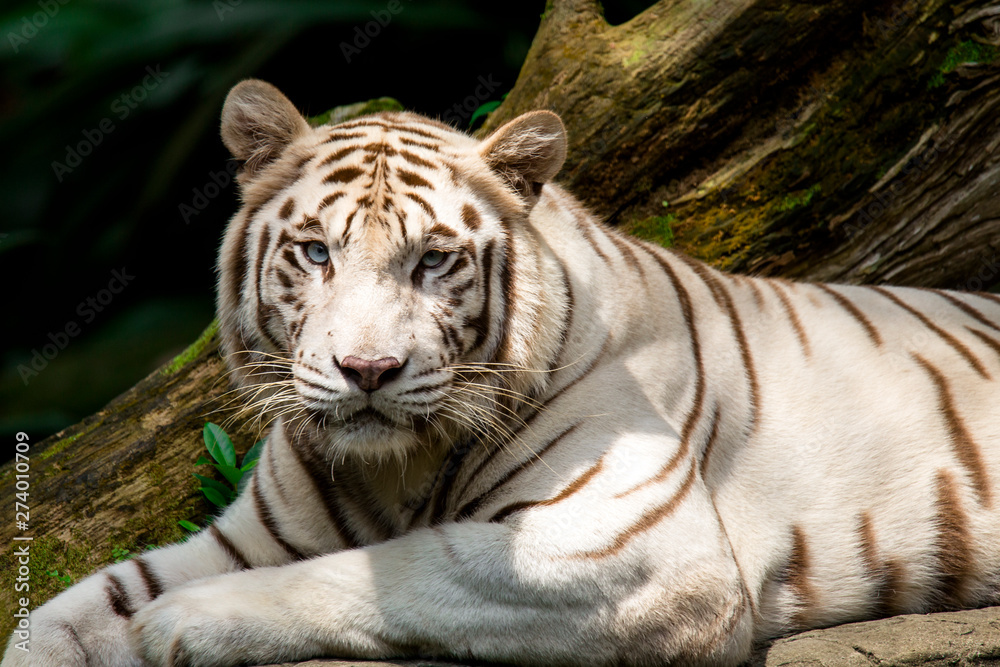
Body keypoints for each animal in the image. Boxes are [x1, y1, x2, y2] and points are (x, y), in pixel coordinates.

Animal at [5, 77, 1000, 667]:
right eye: (317, 252)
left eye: (434, 261)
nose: (368, 368)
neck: (391, 467)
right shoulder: (248, 535)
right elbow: (66, 611)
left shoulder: (640, 547)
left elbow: (399, 565)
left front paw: (181, 622)